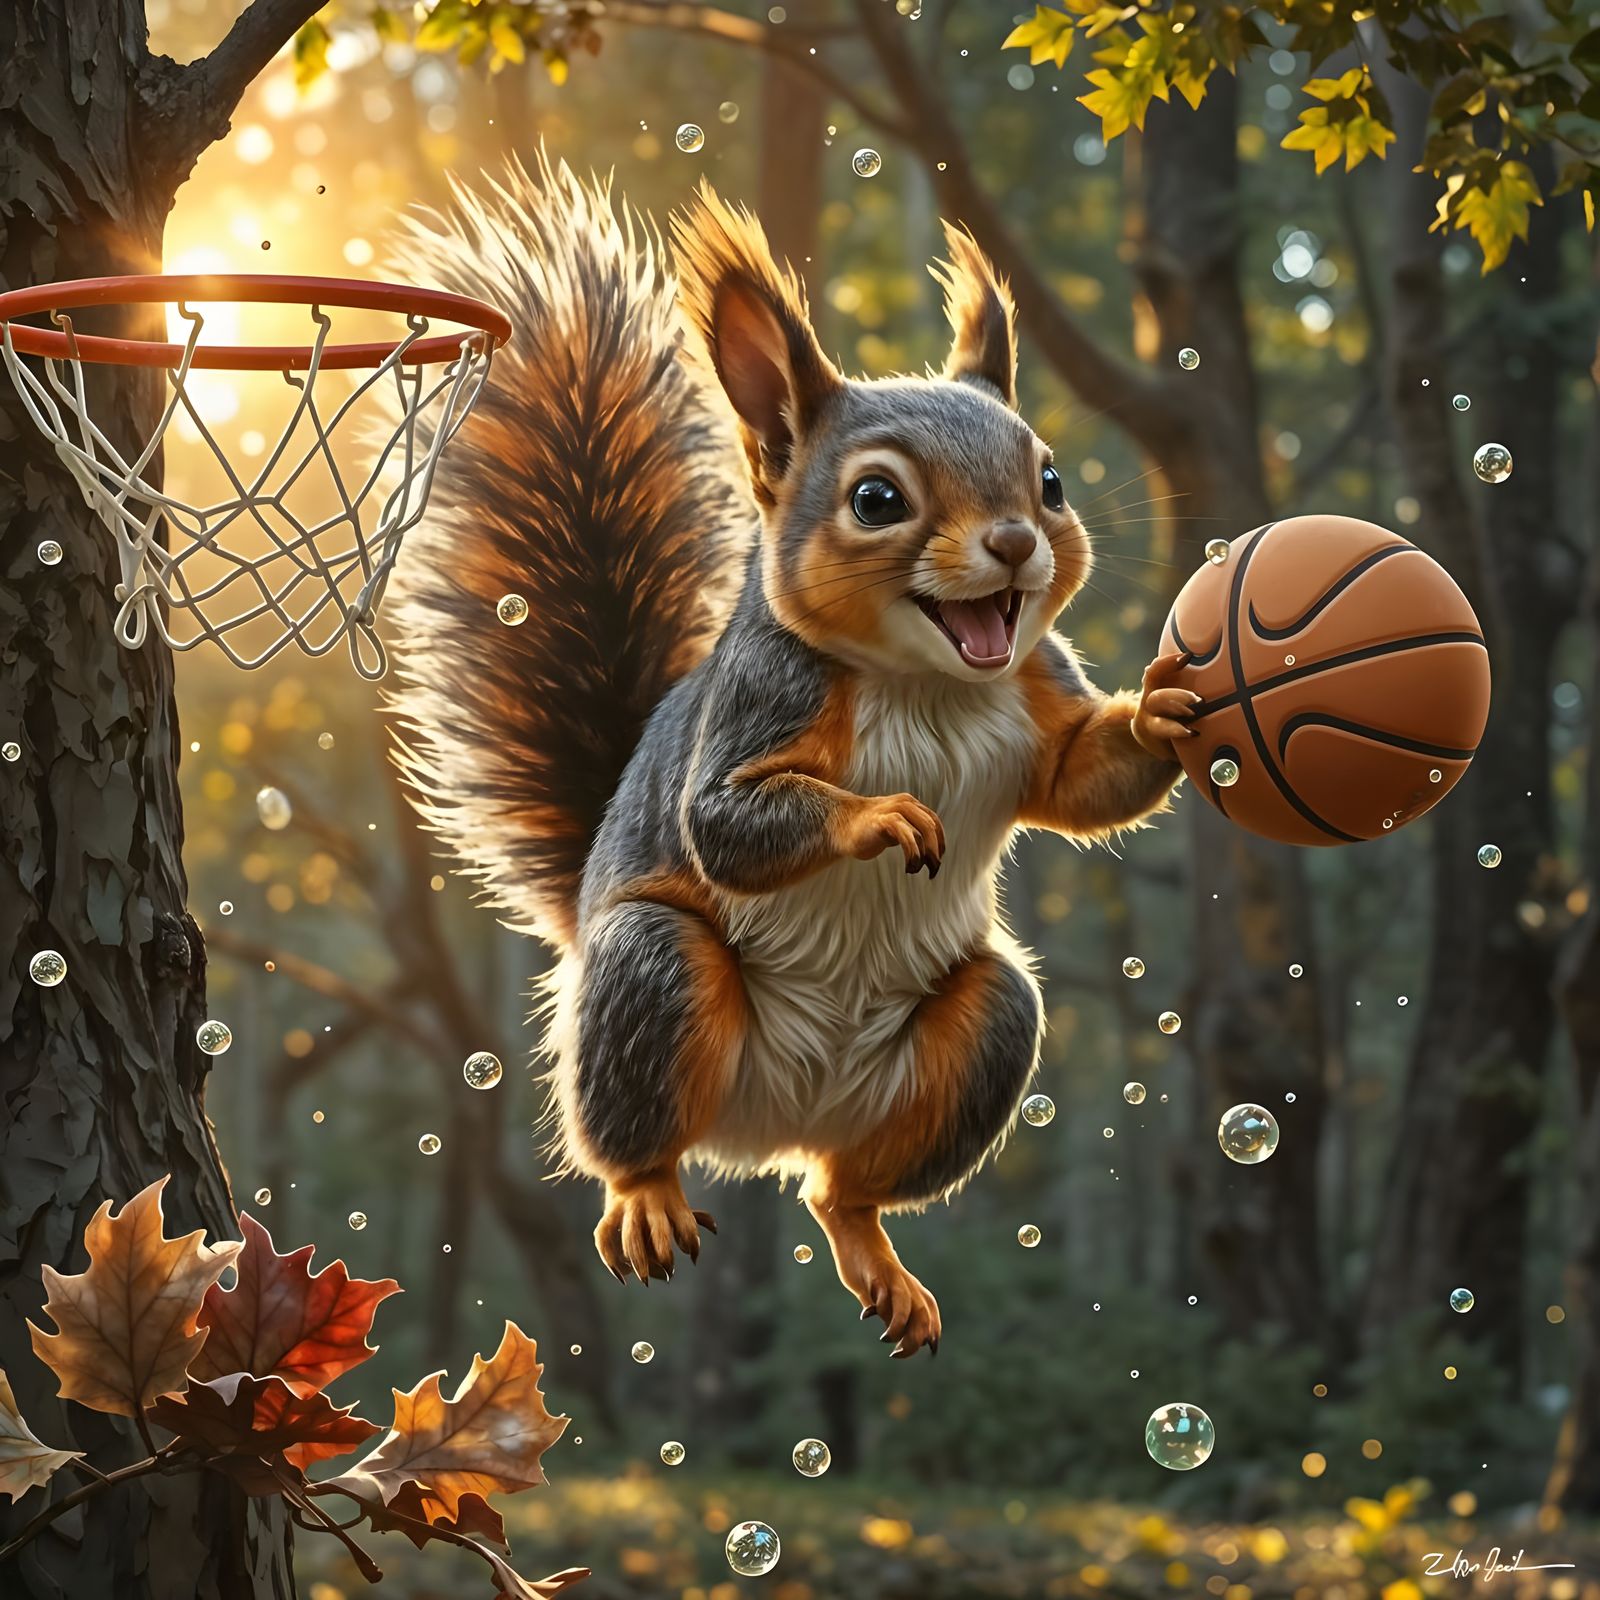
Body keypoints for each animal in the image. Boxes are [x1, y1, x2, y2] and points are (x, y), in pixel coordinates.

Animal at [388, 154, 1195, 1358]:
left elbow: (1080, 782)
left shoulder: (1038, 689)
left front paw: (1167, 709)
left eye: (1049, 480)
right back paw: (648, 1199)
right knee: (637, 1127)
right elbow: (723, 824)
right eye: (876, 498)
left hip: (972, 1044)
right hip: (654, 975)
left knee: (842, 1189)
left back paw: (872, 1252)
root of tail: (773, 1124)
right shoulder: (761, 701)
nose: (1017, 541)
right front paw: (881, 815)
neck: (926, 682)